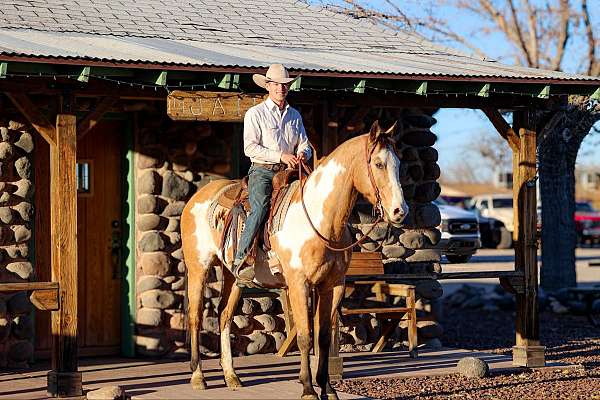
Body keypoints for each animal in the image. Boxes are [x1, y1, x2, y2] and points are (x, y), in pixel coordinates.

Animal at [182, 120, 408, 398]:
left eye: (398, 163)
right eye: (378, 163)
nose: (400, 212)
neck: (320, 220)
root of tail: (197, 197)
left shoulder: (332, 285)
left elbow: (323, 337)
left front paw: (328, 388)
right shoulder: (299, 284)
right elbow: (304, 336)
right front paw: (308, 388)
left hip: (232, 276)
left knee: (224, 316)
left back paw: (232, 377)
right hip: (198, 268)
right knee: (196, 317)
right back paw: (198, 377)